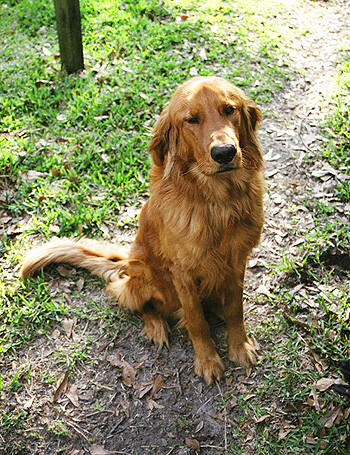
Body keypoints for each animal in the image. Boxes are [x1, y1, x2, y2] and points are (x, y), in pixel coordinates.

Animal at [20, 77, 262, 384]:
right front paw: (207, 360)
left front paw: (239, 346)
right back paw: (156, 326)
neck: (218, 204)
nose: (225, 153)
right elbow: (196, 320)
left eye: (230, 109)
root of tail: (126, 263)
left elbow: (235, 309)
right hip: (145, 275)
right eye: (192, 120)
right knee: (137, 301)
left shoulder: (237, 261)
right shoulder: (182, 274)